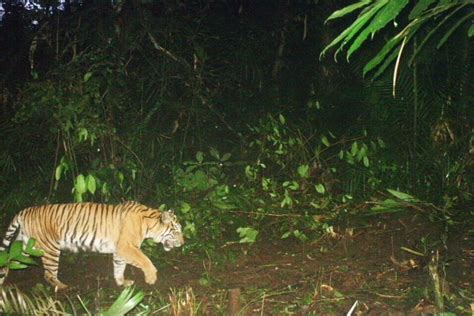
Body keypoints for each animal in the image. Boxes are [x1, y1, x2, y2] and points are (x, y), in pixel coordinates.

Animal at [0, 201, 183, 290]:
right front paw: (151, 277)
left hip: (24, 247)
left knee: (9, 260)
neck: (148, 224)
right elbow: (145, 260)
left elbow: (119, 267)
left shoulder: (120, 250)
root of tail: (25, 210)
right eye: (176, 231)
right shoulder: (126, 247)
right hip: (50, 249)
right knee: (49, 274)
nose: (183, 243)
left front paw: (121, 283)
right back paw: (63, 287)